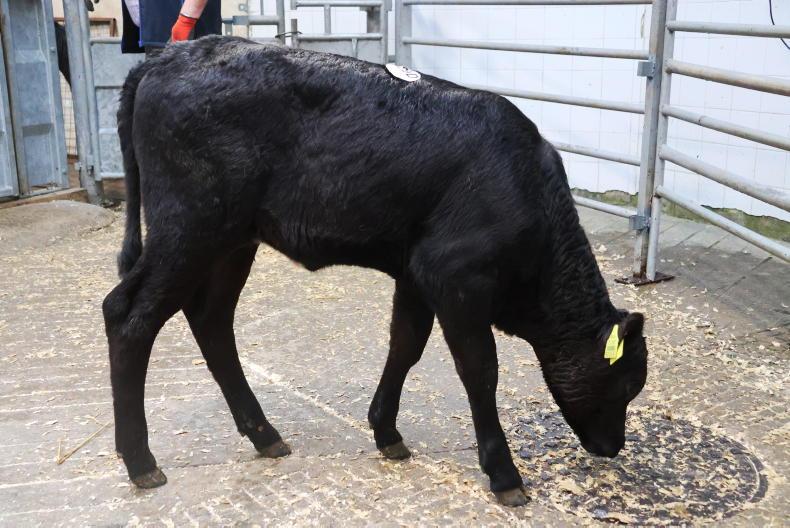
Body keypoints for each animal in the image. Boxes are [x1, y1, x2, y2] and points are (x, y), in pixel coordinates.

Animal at [103, 35, 648, 507]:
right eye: (627, 384)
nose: (613, 446)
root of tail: (172, 54)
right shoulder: (456, 279)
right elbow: (480, 371)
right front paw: (504, 473)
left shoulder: (416, 274)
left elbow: (405, 345)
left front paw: (386, 431)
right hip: (189, 227)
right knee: (127, 315)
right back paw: (141, 461)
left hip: (232, 241)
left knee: (211, 319)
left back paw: (263, 433)